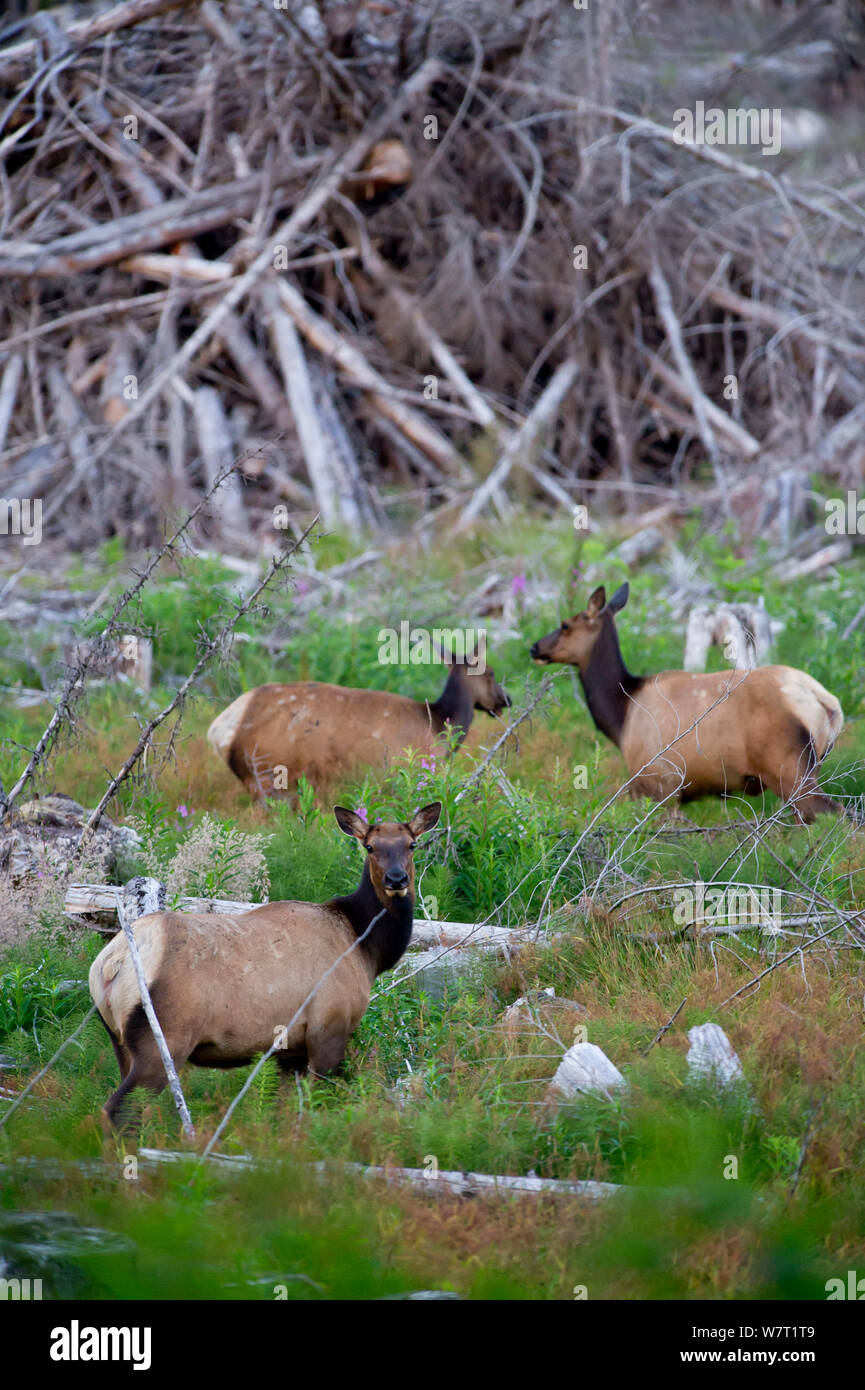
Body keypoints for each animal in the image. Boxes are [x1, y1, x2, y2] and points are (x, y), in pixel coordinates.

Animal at [89, 806, 445, 1128]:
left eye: (411, 844)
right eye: (370, 846)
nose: (396, 879)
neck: (366, 948)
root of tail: (111, 963)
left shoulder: (290, 1049)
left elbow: (283, 1111)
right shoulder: (330, 1028)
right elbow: (314, 1107)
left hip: (118, 1039)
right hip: (163, 1038)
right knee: (118, 1111)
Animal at [207, 656, 511, 800]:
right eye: (491, 673)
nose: (506, 699)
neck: (438, 724)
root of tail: (219, 729)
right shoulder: (403, 771)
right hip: (266, 776)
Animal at [531, 581, 845, 817]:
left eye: (565, 625)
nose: (534, 647)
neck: (621, 715)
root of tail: (827, 702)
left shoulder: (659, 785)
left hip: (788, 766)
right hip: (811, 767)